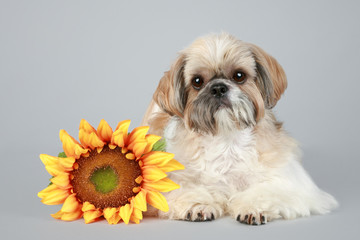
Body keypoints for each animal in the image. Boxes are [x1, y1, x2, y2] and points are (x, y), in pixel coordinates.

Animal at [141, 32, 338, 224]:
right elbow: (187, 191)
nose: (218, 88)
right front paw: (198, 205)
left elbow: (267, 191)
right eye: (197, 81)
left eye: (239, 76)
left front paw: (254, 208)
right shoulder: (178, 180)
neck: (227, 139)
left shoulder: (291, 184)